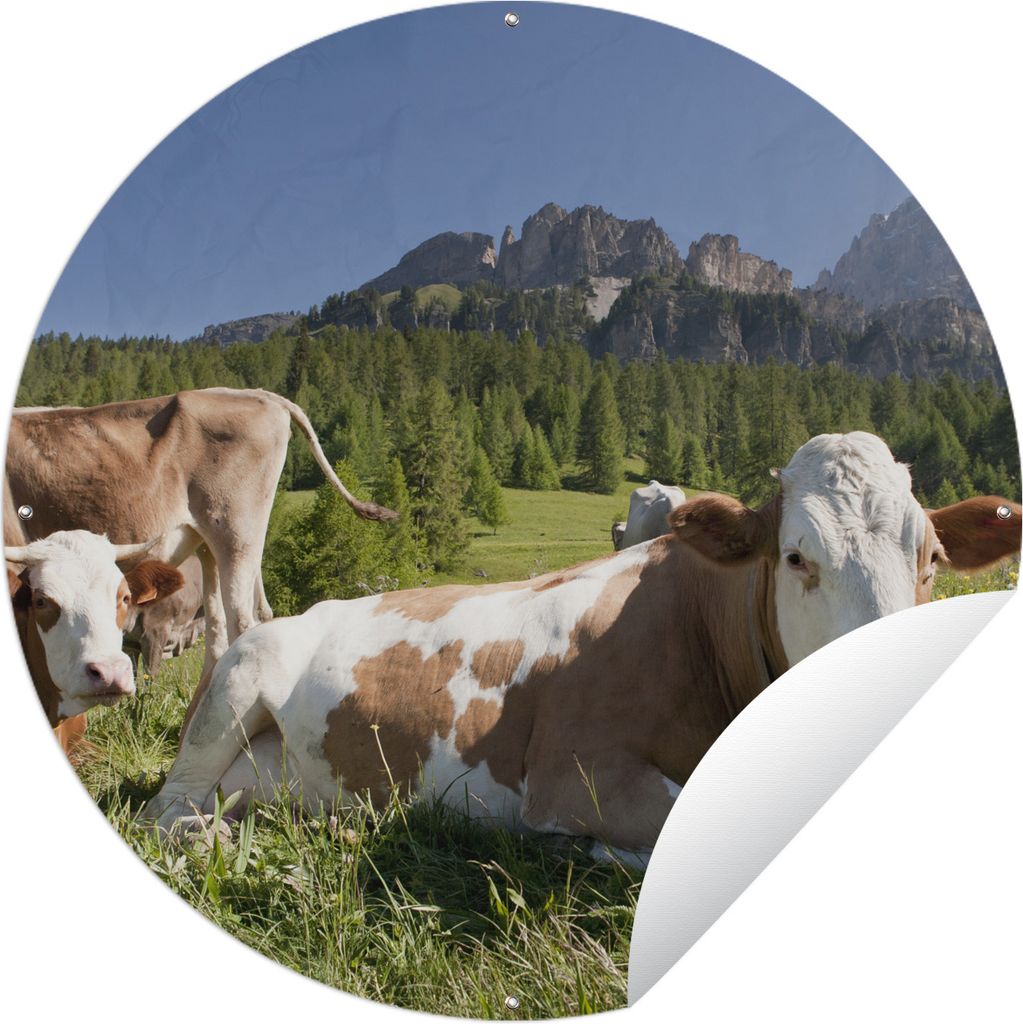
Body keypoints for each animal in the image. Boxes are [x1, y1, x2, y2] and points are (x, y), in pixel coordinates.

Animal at [142, 433, 1021, 864]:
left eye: (930, 559)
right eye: (798, 557)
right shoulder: (574, 773)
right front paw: (590, 850)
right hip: (235, 682)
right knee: (165, 808)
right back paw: (207, 837)